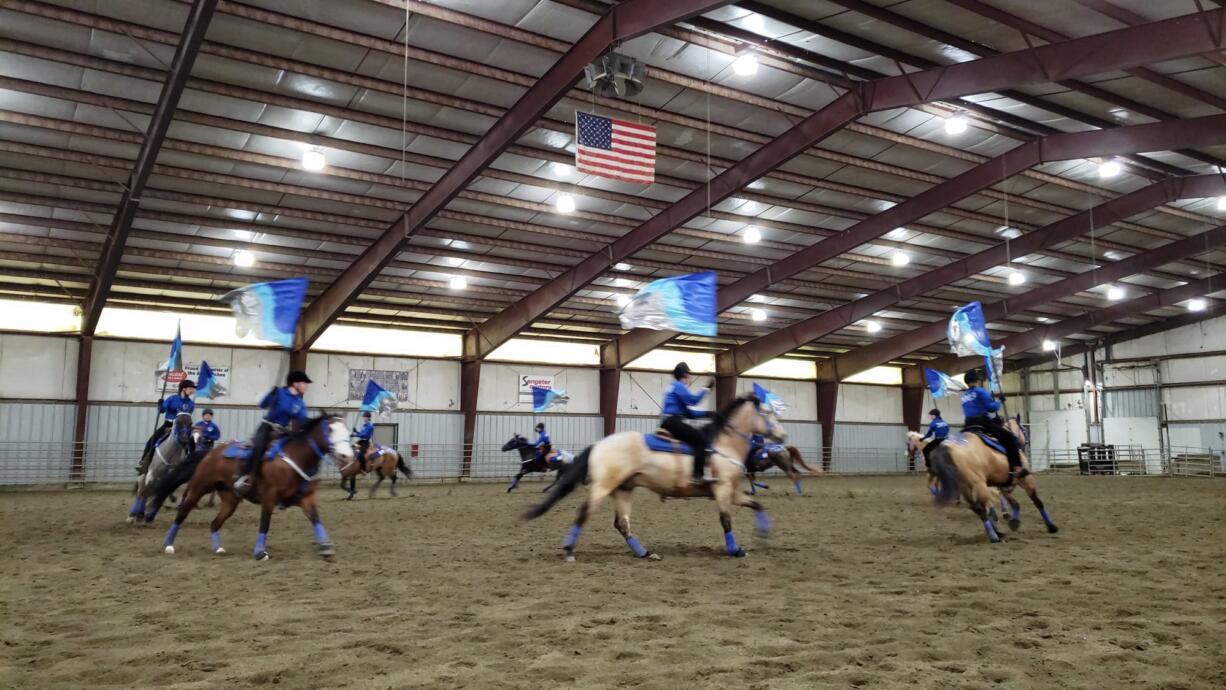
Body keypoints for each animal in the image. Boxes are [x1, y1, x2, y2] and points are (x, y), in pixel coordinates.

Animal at [160, 416, 357, 561]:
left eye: (347, 431)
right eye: (330, 430)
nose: (347, 456)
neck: (297, 456)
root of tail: (210, 453)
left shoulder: (306, 498)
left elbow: (316, 519)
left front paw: (326, 547)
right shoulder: (269, 497)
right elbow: (265, 523)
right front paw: (260, 552)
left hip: (230, 500)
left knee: (215, 523)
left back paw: (217, 548)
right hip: (199, 487)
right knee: (183, 512)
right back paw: (168, 545)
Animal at [522, 397, 779, 563]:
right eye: (768, 414)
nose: (782, 434)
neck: (723, 445)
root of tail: (599, 444)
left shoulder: (732, 492)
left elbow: (757, 504)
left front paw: (763, 535)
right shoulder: (723, 490)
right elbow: (726, 520)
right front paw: (735, 550)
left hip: (623, 489)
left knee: (622, 523)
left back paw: (644, 553)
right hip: (604, 486)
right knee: (585, 513)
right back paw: (569, 550)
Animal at [926, 416, 1054, 546]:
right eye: (1023, 429)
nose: (1026, 442)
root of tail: (947, 448)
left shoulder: (1002, 484)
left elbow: (1013, 502)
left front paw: (1014, 521)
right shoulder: (1025, 479)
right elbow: (1037, 501)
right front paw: (1051, 526)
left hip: (965, 486)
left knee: (978, 509)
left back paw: (997, 532)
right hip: (979, 484)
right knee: (983, 508)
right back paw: (994, 536)